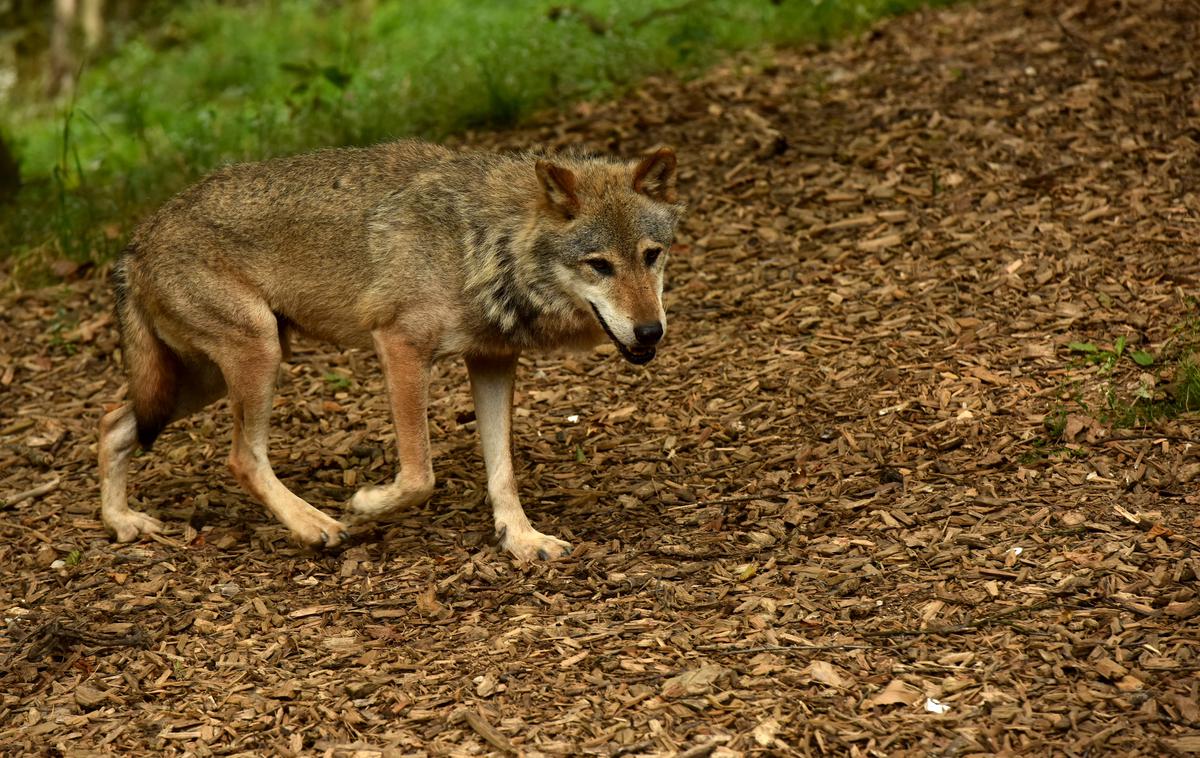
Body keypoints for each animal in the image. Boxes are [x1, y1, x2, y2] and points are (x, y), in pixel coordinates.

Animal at [98, 139, 686, 558]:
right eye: (599, 265)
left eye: (651, 255)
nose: (650, 332)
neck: (481, 242)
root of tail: (136, 241)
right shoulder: (400, 348)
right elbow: (420, 475)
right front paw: (364, 505)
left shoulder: (493, 361)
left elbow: (502, 471)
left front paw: (521, 540)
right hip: (256, 357)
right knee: (241, 457)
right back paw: (316, 526)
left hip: (206, 379)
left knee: (112, 424)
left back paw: (123, 523)